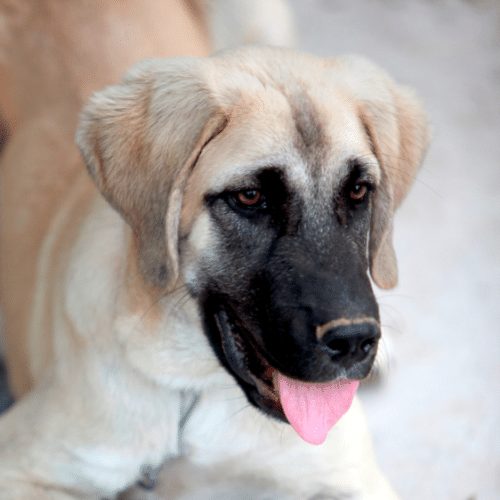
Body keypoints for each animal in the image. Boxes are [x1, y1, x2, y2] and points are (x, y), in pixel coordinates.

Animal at [0, 1, 428, 498]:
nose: (354, 341)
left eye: (359, 190)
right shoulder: (21, 464)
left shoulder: (352, 478)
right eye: (250, 197)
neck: (196, 392)